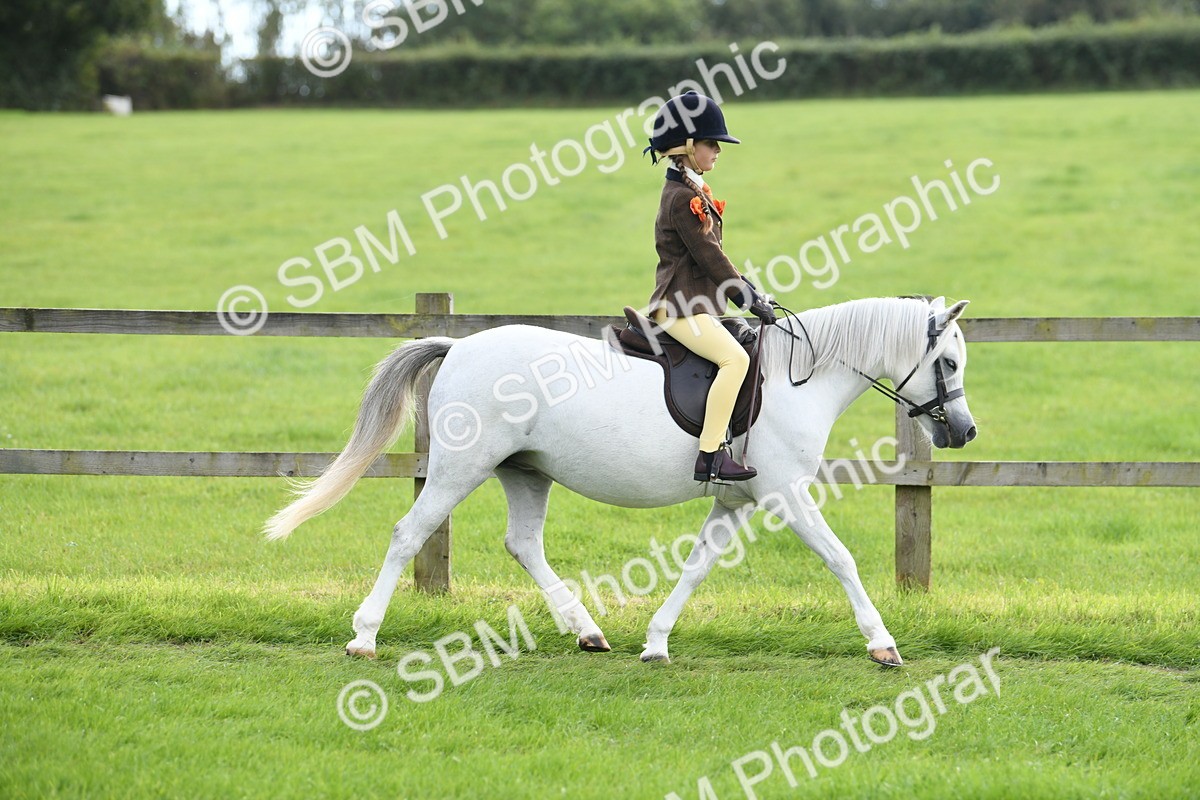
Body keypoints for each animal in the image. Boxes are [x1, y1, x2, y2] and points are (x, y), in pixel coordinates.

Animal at [264, 295, 976, 667]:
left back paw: (587, 630)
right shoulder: (786, 495)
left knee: (524, 545)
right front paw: (883, 644)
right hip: (458, 469)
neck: (801, 376)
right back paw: (363, 636)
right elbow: (841, 558)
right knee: (408, 534)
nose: (964, 432)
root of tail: (459, 346)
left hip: (526, 473)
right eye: (947, 362)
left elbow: (696, 567)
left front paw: (656, 642)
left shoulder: (736, 501)